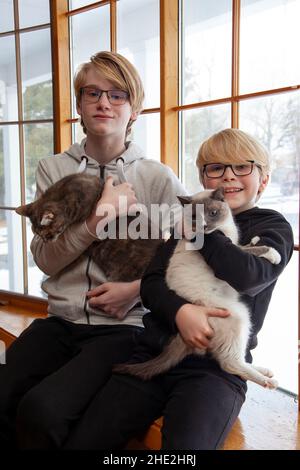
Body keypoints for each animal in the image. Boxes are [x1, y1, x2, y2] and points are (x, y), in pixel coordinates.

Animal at [115, 188, 282, 390]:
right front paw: (274, 254)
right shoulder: (230, 252)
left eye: (212, 213)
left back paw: (265, 371)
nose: (204, 225)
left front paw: (256, 239)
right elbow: (252, 251)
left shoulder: (233, 243)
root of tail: (180, 333)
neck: (222, 229)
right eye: (194, 217)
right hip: (240, 317)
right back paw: (268, 381)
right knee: (229, 363)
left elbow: (246, 245)